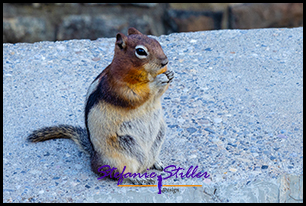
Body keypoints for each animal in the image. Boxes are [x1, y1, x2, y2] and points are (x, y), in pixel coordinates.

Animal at [27, 27, 175, 179]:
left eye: (156, 41)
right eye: (140, 51)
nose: (165, 61)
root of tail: (93, 156)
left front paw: (170, 73)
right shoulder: (117, 86)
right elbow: (135, 95)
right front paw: (158, 80)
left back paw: (156, 163)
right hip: (117, 157)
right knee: (120, 173)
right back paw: (136, 178)